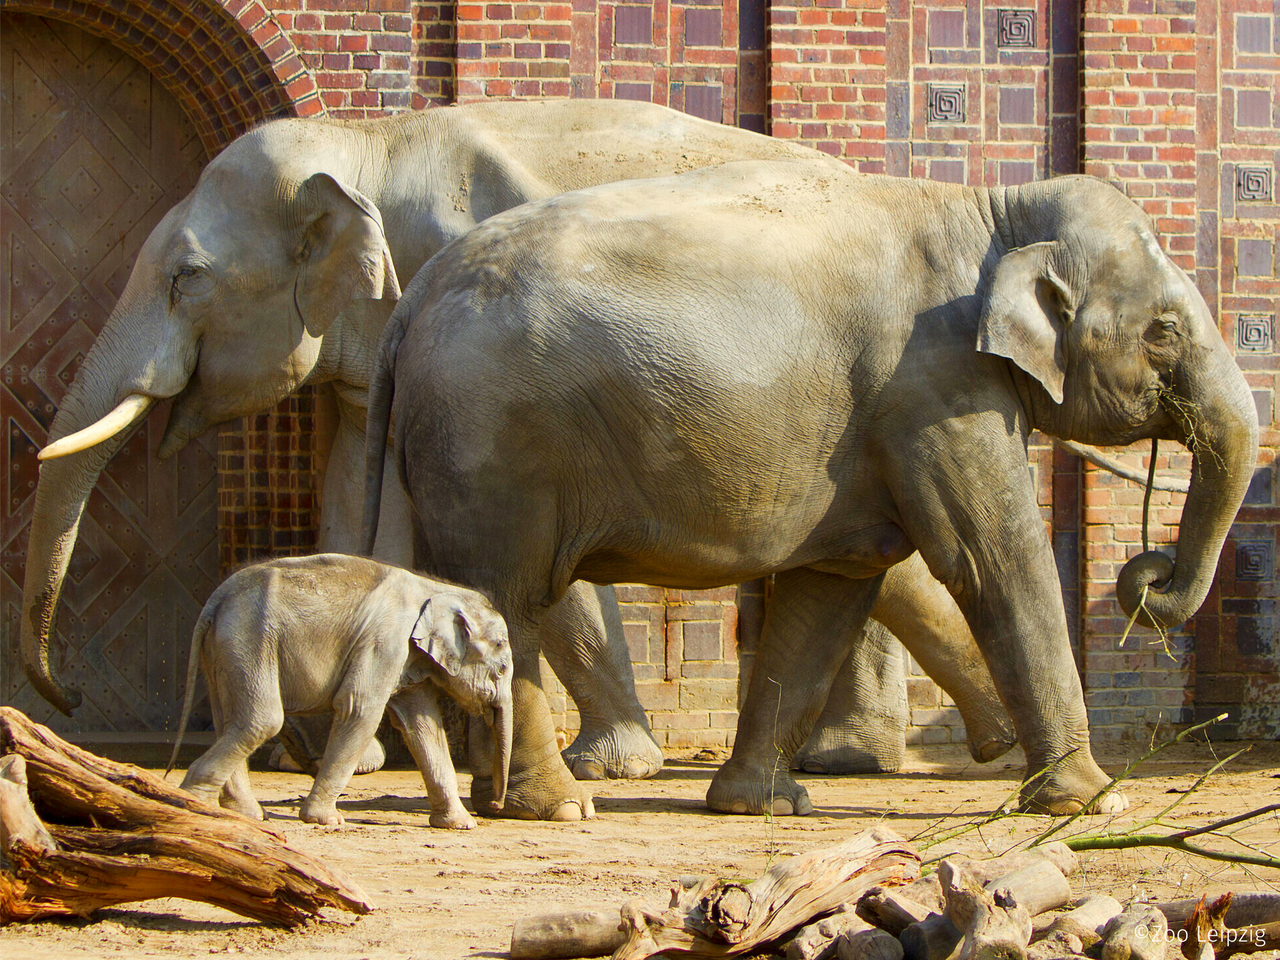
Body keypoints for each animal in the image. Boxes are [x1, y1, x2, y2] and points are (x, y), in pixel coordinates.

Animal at [167, 552, 512, 829]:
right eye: (502, 669)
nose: (496, 806)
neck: (436, 589)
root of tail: (216, 599)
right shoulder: (385, 641)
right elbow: (360, 710)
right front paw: (326, 820)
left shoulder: (406, 657)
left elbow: (424, 726)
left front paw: (461, 825)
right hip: (248, 638)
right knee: (261, 719)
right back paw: (192, 804)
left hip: (226, 647)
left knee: (230, 719)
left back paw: (243, 814)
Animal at [363, 160, 1259, 819]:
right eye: (1165, 332)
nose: (1147, 576)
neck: (994, 209)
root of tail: (410, 302)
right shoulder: (936, 385)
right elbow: (993, 559)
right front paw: (1092, 802)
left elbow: (829, 590)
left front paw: (759, 805)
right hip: (493, 443)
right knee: (509, 599)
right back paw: (554, 807)